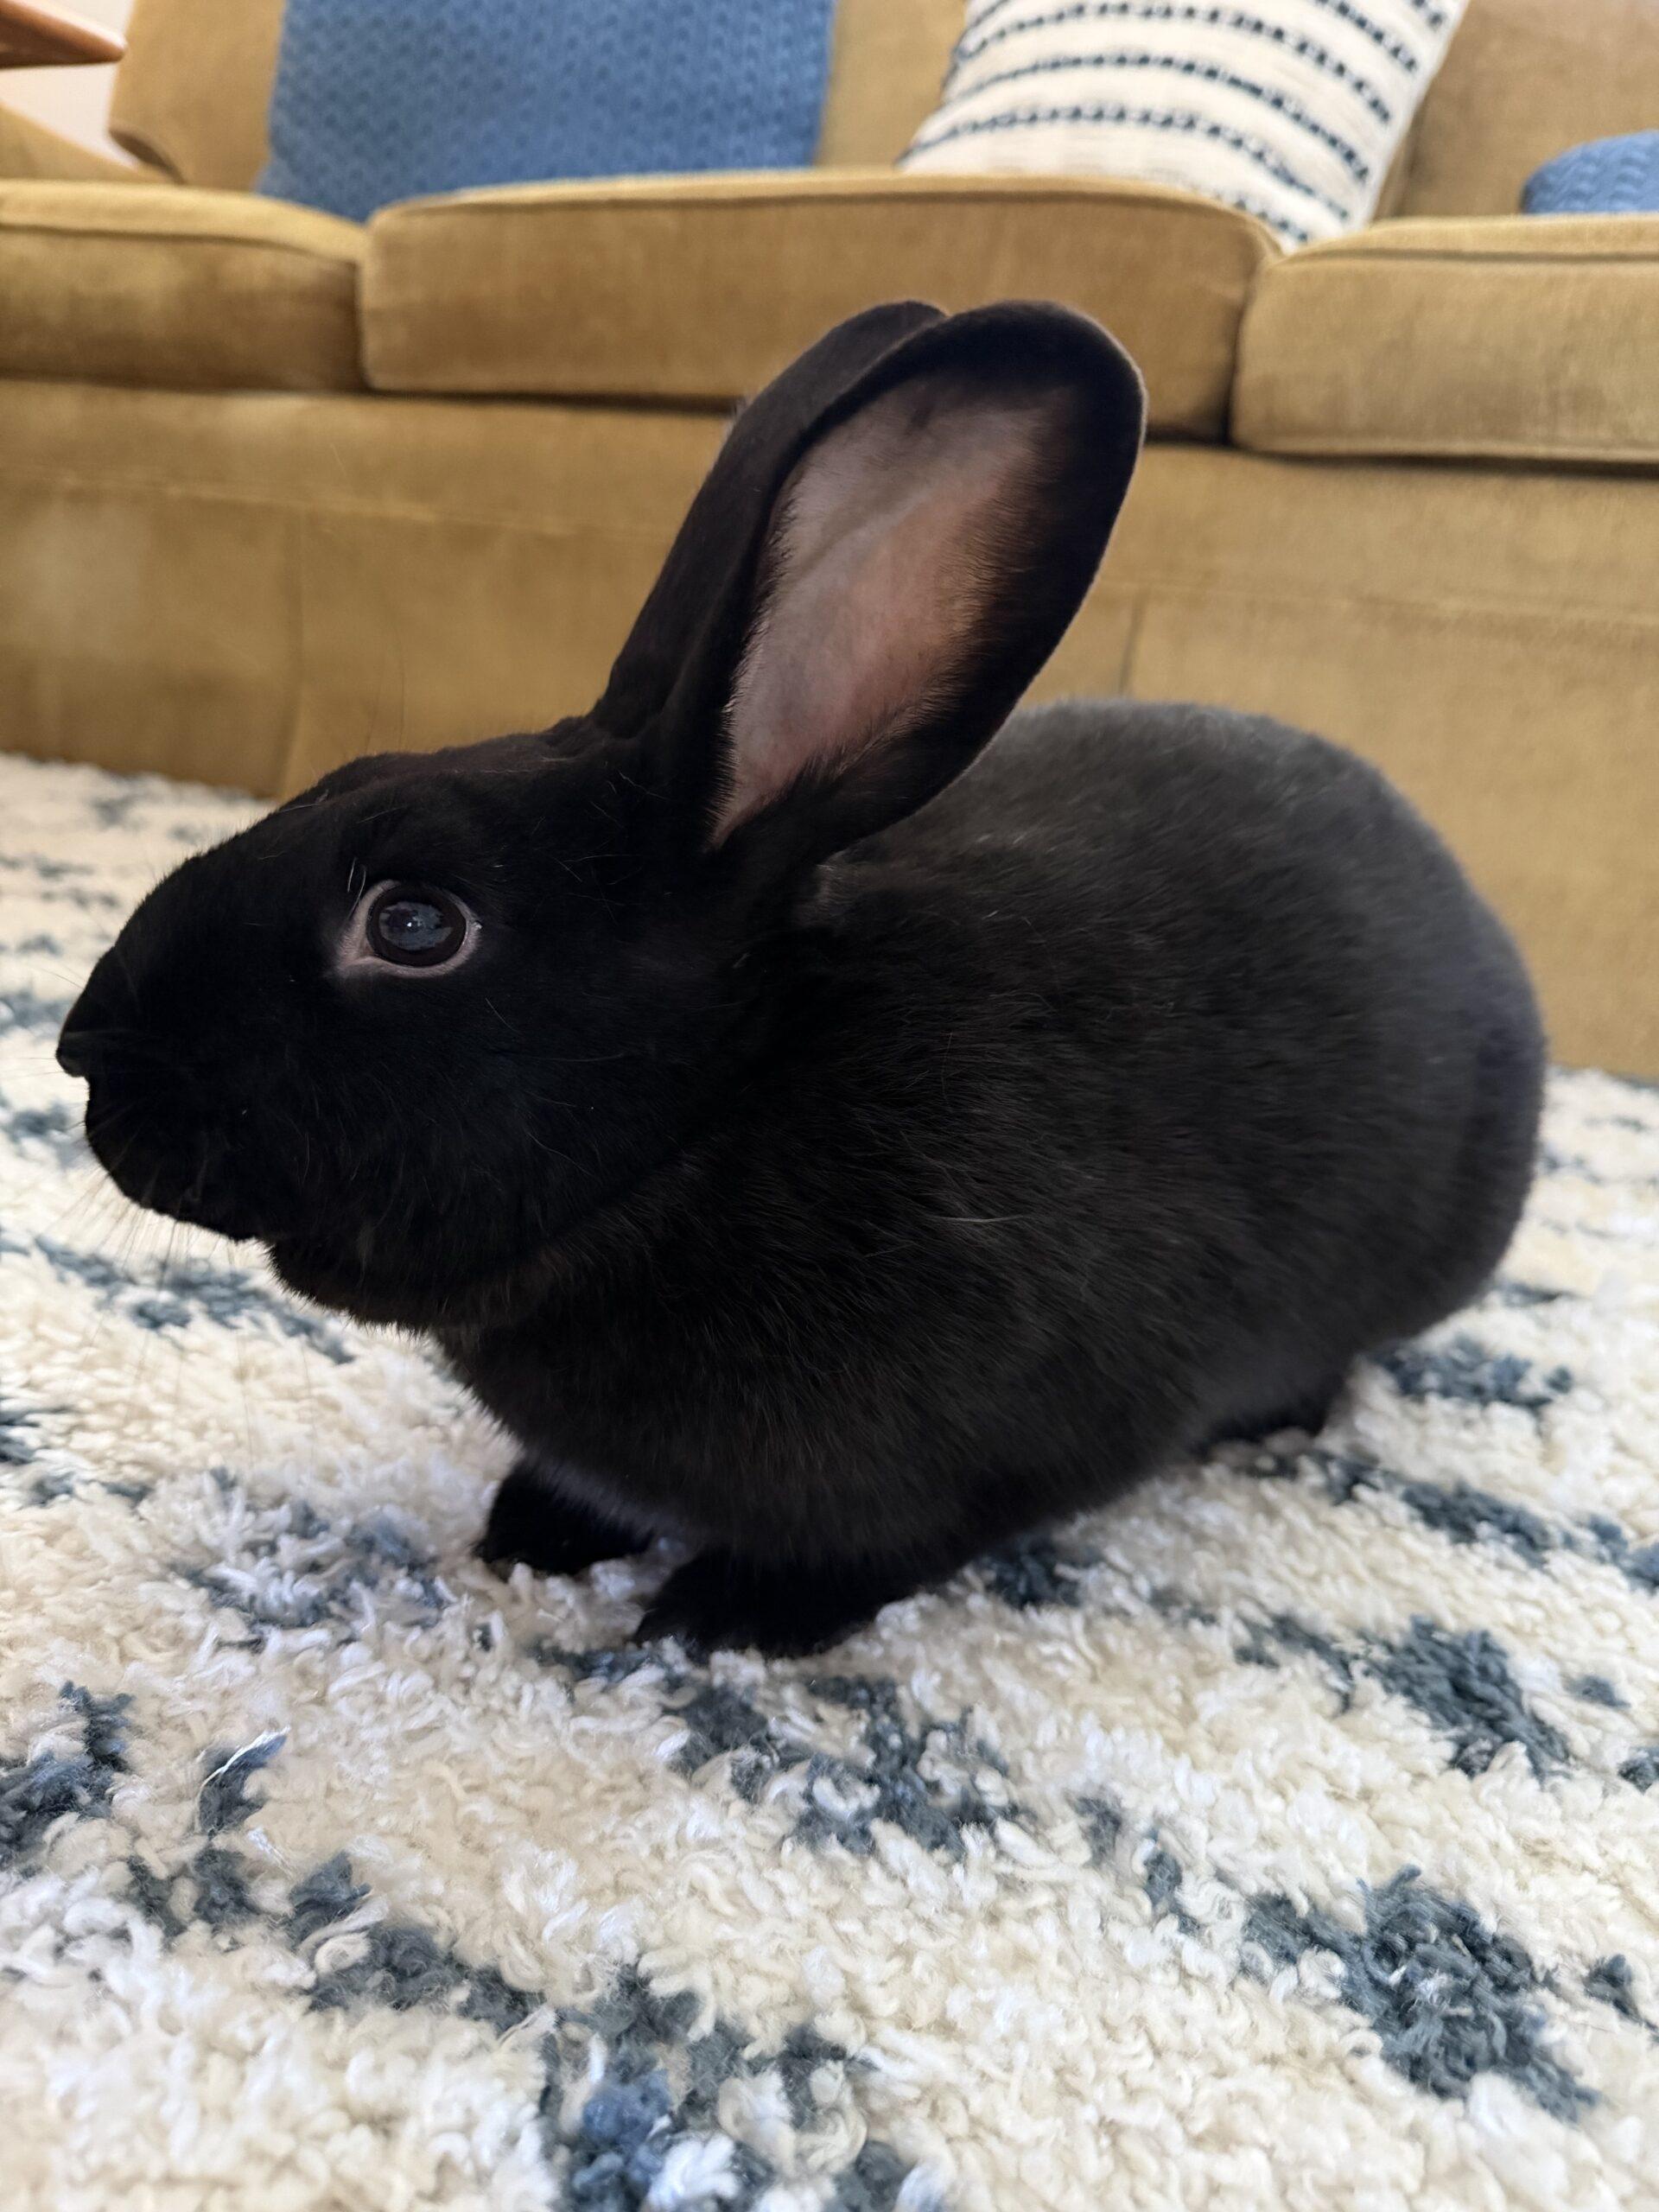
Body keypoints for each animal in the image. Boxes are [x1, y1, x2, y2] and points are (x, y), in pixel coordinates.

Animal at [58, 299, 1545, 1656]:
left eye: (416, 927)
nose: (81, 1050)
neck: (717, 1121)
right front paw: (535, 1527)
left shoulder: (1037, 1443)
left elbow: (898, 1545)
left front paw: (726, 1615)